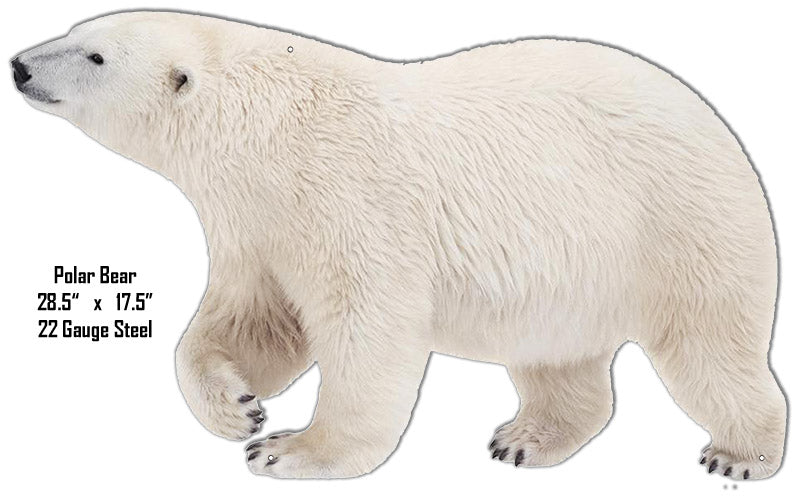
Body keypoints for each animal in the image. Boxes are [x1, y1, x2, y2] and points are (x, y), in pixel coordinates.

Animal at [12, 11, 786, 480]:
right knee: (558, 360)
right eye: (78, 27)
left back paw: (739, 454)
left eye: (94, 55)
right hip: (571, 276)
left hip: (677, 226)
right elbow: (253, 320)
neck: (265, 127)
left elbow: (367, 327)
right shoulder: (256, 222)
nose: (18, 63)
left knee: (709, 349)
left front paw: (289, 449)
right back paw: (523, 439)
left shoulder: (345, 198)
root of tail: (724, 130)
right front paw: (237, 408)